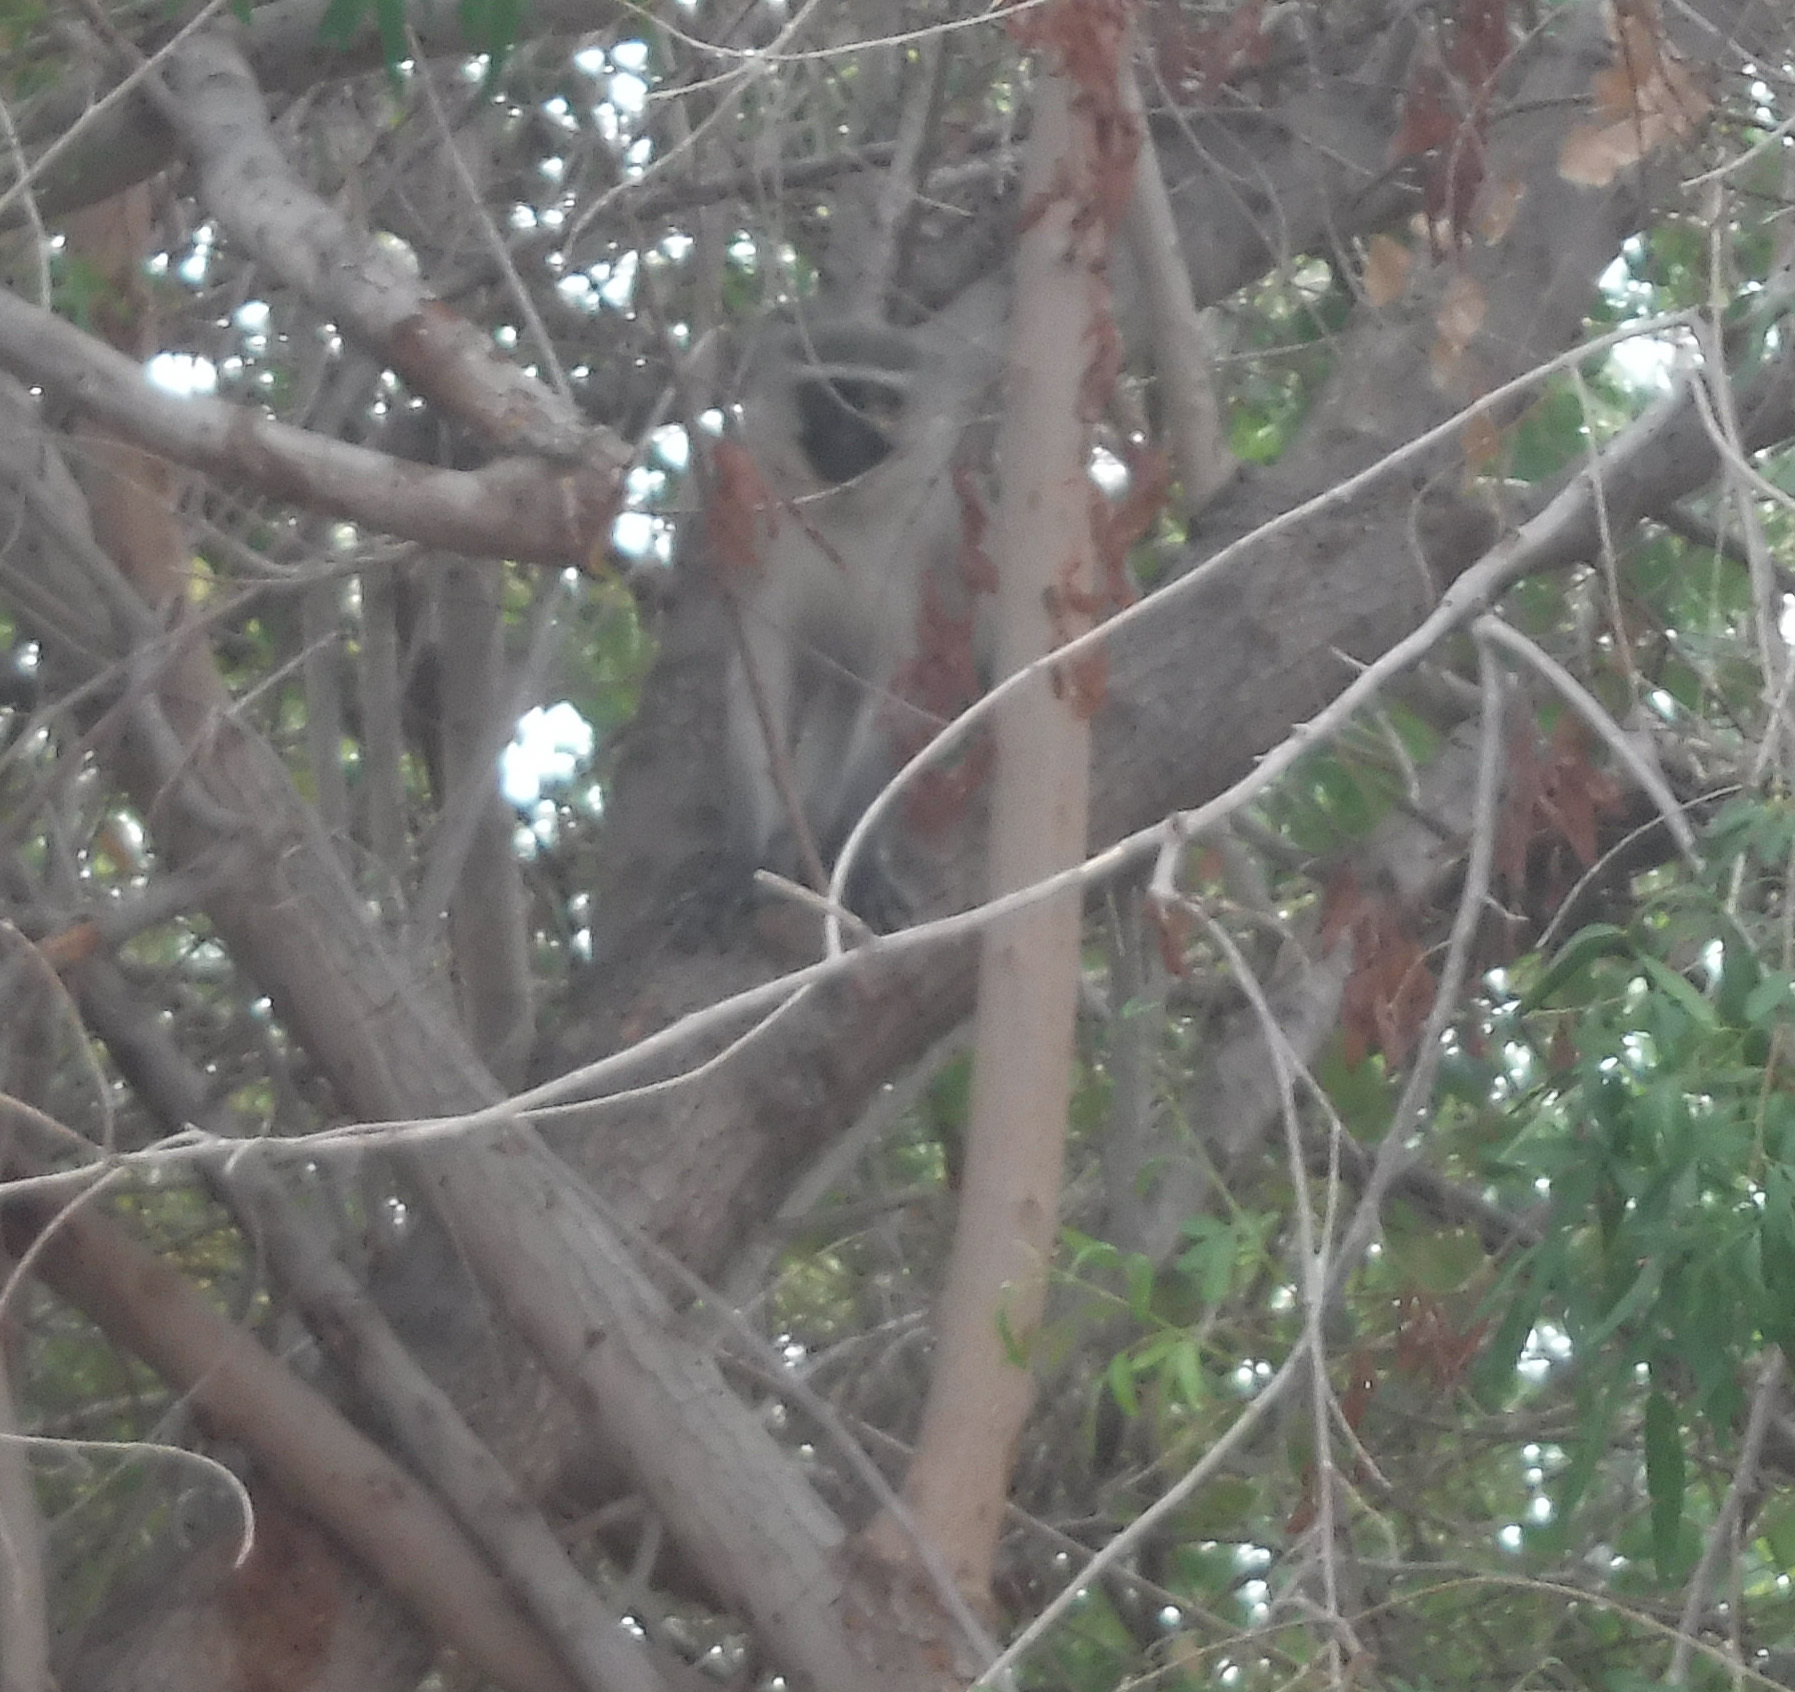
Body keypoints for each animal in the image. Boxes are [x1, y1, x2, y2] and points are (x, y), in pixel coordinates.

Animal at [718, 317, 998, 879]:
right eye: (827, 399)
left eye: (881, 403)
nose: (848, 433)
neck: (846, 512)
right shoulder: (757, 518)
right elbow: (762, 673)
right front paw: (750, 855)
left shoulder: (937, 533)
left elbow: (909, 679)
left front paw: (853, 847)